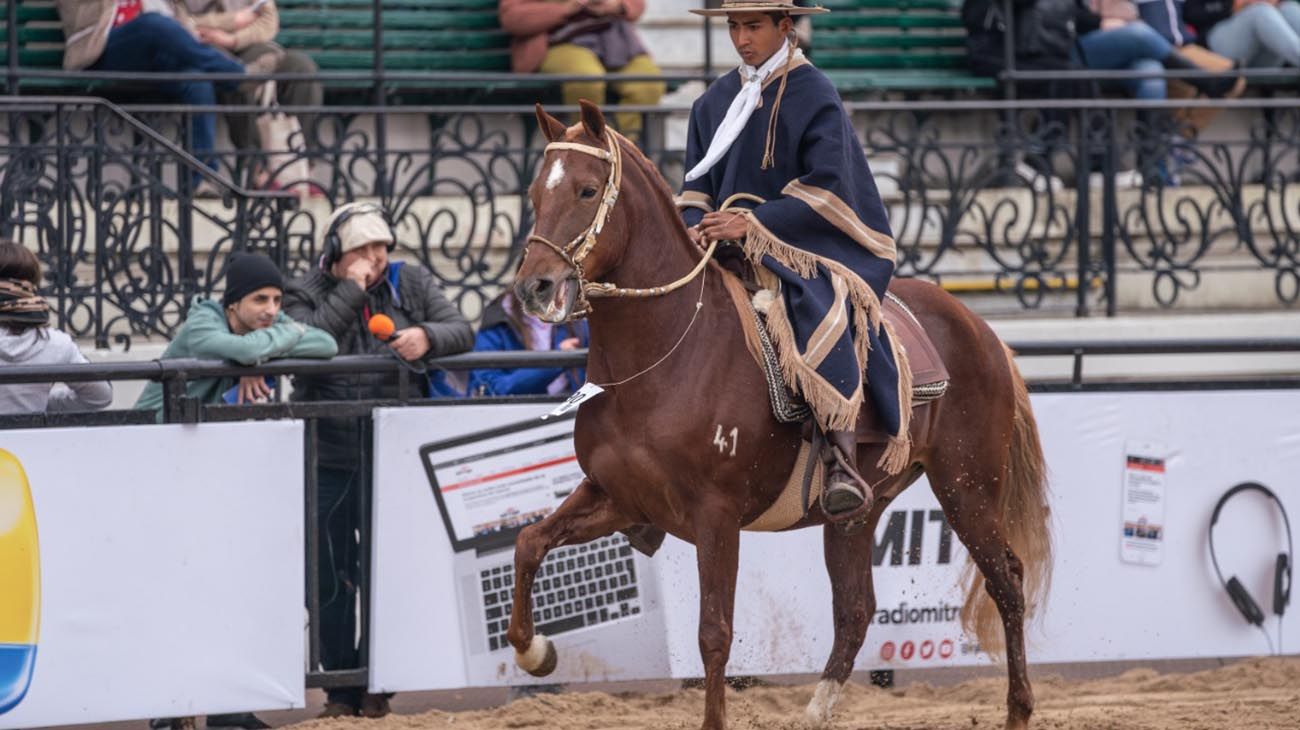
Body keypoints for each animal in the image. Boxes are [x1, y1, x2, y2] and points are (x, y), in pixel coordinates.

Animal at [506, 100, 1055, 727]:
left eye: (587, 189)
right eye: (534, 194)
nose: (533, 286)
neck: (660, 359)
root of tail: (980, 328)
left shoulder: (716, 516)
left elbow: (714, 634)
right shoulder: (616, 496)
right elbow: (529, 543)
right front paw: (534, 652)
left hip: (968, 486)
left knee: (1006, 580)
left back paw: (1018, 709)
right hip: (861, 511)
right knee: (856, 610)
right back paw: (815, 712)